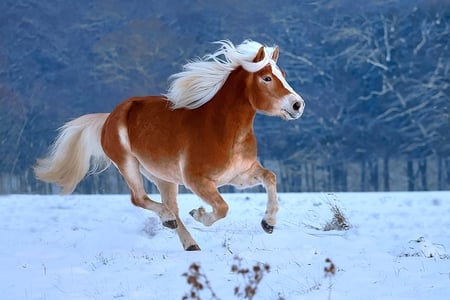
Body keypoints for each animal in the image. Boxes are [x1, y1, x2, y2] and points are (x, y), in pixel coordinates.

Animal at [33, 39, 304, 251]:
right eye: (267, 78)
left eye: (283, 75)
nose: (297, 105)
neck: (224, 130)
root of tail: (109, 117)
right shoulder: (197, 180)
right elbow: (222, 208)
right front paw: (199, 214)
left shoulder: (238, 175)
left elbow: (270, 177)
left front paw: (268, 223)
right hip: (128, 164)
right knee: (140, 199)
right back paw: (169, 220)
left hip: (164, 177)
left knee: (169, 205)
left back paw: (189, 242)